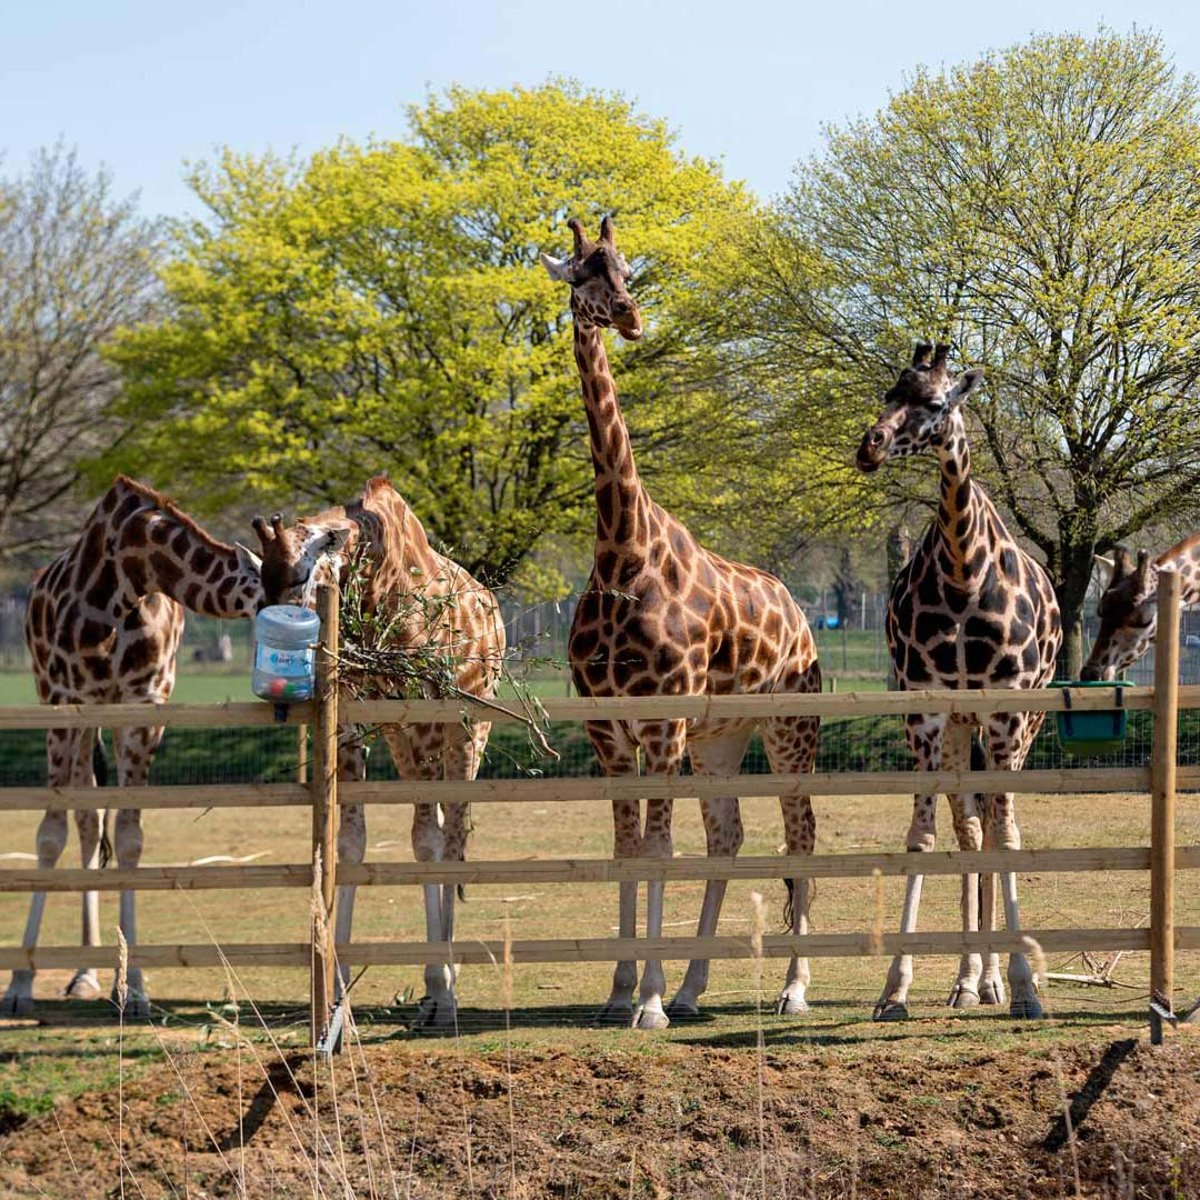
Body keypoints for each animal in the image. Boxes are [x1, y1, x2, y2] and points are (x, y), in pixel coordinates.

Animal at [1, 476, 264, 1017]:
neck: (131, 568)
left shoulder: (145, 705)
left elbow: (129, 837)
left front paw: (136, 988)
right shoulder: (65, 699)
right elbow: (49, 834)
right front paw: (18, 983)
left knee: (94, 821)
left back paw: (90, 973)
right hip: (69, 707)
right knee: (83, 819)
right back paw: (80, 973)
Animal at [251, 475, 505, 1028]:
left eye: (301, 572)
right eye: (261, 577)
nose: (283, 633)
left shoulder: (434, 720)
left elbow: (433, 845)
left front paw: (443, 992)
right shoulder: (355, 723)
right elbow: (350, 844)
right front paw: (337, 995)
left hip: (470, 729)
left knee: (453, 835)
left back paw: (444, 986)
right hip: (403, 739)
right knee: (438, 831)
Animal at [541, 217, 822, 1029]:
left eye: (628, 270)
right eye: (582, 274)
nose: (630, 317)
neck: (620, 550)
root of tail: (801, 613)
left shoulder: (660, 721)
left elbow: (659, 850)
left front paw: (649, 1002)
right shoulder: (608, 728)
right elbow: (629, 849)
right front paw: (620, 990)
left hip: (789, 725)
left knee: (800, 833)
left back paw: (791, 989)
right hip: (720, 738)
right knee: (728, 835)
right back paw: (697, 987)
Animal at [856, 342, 1062, 1020]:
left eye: (936, 401)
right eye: (890, 392)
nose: (870, 445)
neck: (963, 572)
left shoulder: (1006, 714)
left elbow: (1007, 836)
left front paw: (1025, 988)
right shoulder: (926, 712)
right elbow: (924, 838)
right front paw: (894, 988)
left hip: (1022, 727)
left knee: (998, 826)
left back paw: (995, 981)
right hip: (959, 732)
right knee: (969, 830)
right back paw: (971, 980)